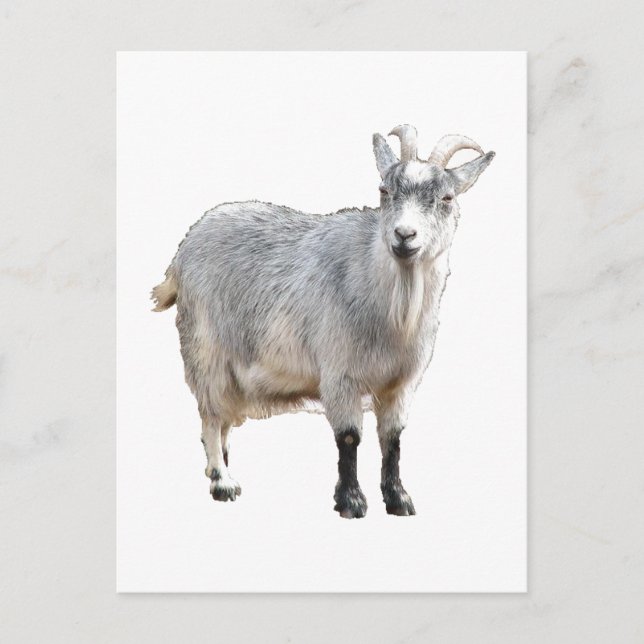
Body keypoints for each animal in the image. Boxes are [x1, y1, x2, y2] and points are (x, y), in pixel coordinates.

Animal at [152, 125, 494, 518]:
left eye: (447, 197)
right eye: (384, 191)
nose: (404, 235)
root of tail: (181, 253)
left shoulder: (401, 383)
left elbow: (392, 439)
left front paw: (398, 500)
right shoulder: (339, 372)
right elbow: (349, 437)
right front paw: (351, 503)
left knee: (223, 420)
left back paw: (218, 468)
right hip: (205, 348)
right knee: (210, 416)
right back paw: (222, 482)